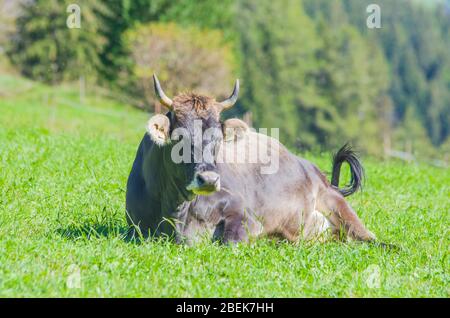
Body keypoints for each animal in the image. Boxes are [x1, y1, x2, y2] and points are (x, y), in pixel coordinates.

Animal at [126, 74, 376, 243]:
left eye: (218, 138)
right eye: (179, 137)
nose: (209, 180)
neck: (176, 211)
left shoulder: (246, 214)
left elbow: (229, 242)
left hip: (337, 205)